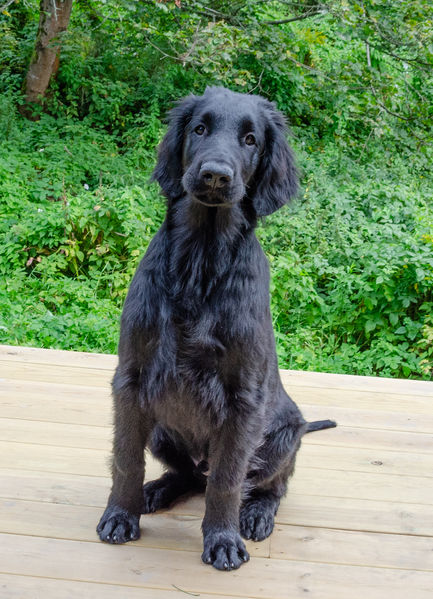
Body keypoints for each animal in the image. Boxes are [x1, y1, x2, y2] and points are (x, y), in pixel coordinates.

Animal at [97, 88, 334, 572]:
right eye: (200, 128)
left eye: (250, 139)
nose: (215, 175)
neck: (200, 265)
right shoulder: (131, 379)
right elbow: (126, 458)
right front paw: (120, 515)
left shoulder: (244, 399)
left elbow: (227, 478)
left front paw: (222, 539)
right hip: (162, 428)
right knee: (190, 474)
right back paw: (157, 490)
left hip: (282, 436)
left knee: (267, 484)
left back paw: (256, 513)